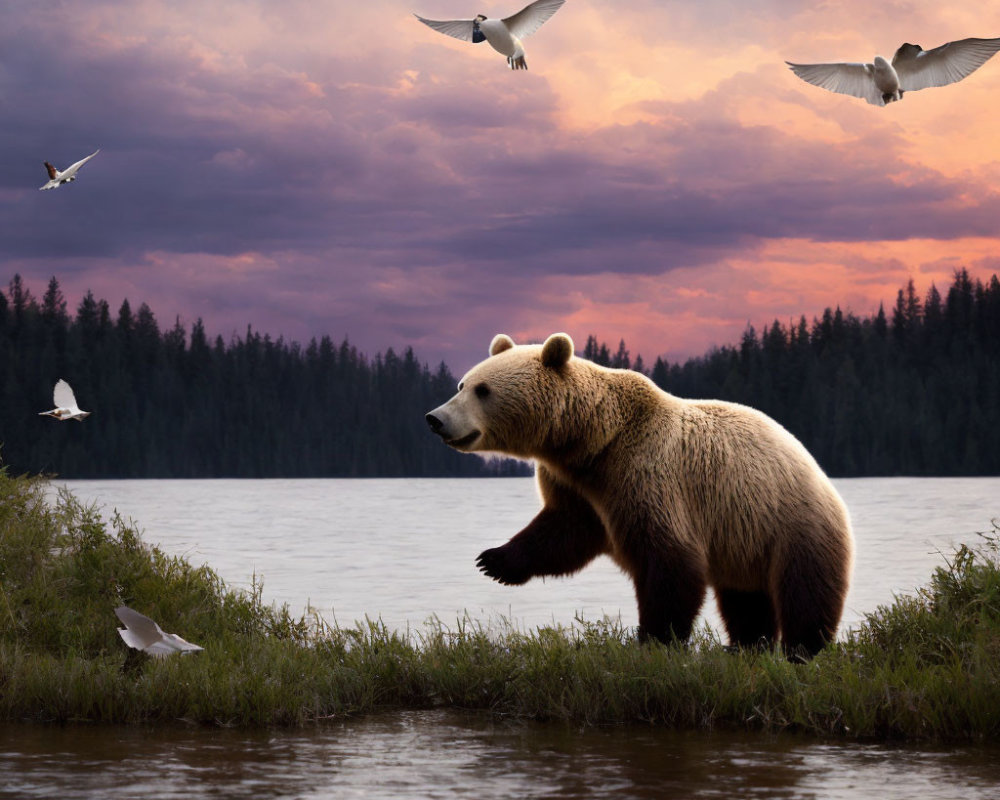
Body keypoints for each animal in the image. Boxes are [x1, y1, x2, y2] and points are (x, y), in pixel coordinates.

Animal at [426, 334, 856, 660]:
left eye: (483, 390)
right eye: (462, 385)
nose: (435, 418)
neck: (592, 443)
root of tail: (817, 470)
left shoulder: (647, 475)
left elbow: (668, 558)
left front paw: (655, 640)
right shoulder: (579, 487)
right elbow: (562, 531)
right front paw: (494, 560)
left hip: (792, 522)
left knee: (806, 589)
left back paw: (802, 649)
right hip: (743, 536)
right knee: (744, 597)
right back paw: (746, 644)